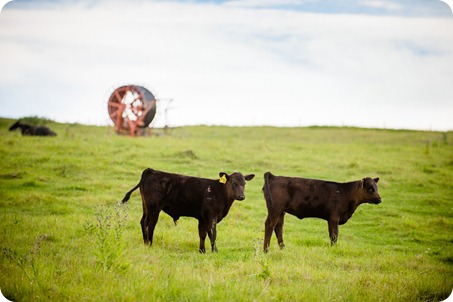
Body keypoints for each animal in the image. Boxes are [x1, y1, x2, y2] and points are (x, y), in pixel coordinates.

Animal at [120, 168, 254, 252]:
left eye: (244, 184)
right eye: (233, 183)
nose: (241, 196)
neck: (220, 192)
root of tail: (150, 170)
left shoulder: (202, 218)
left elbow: (202, 234)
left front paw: (202, 250)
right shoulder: (211, 216)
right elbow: (213, 233)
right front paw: (215, 251)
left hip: (146, 207)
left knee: (143, 222)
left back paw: (145, 243)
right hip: (154, 208)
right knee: (150, 224)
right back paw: (149, 244)